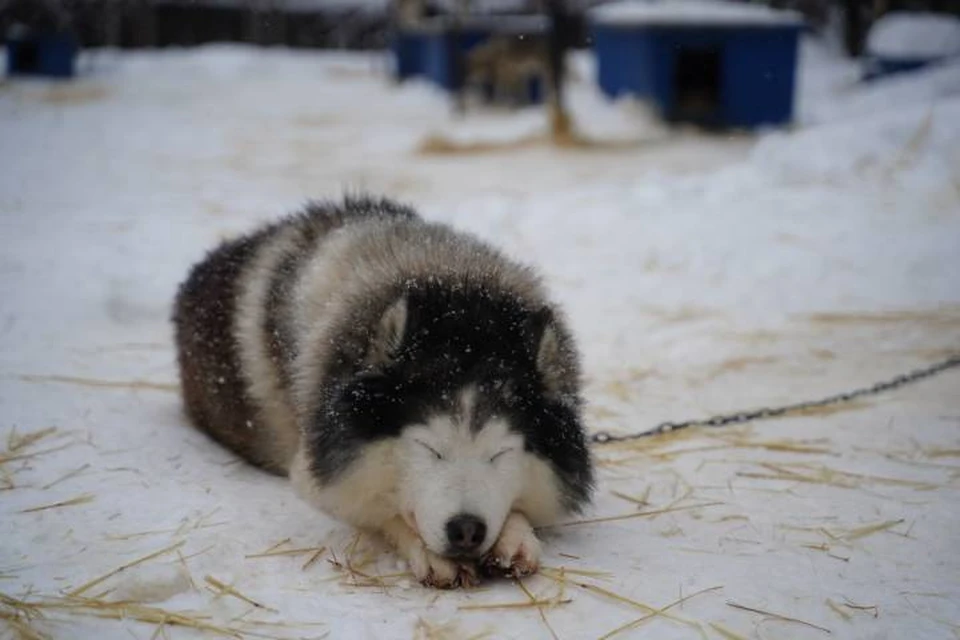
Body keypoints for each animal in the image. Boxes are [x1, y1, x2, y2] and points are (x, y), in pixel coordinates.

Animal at [172, 196, 592, 592]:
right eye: (428, 448)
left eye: (499, 453)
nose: (467, 530)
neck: (447, 275)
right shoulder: (313, 469)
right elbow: (383, 509)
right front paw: (428, 551)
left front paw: (515, 537)